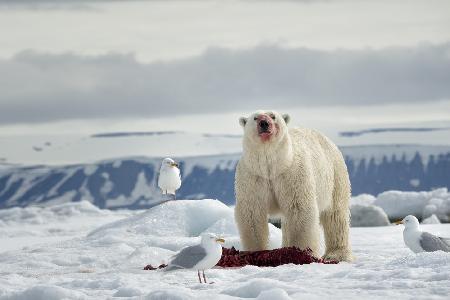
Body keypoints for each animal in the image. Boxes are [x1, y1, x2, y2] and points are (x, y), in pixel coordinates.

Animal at [234, 109, 354, 260]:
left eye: (273, 116)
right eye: (255, 118)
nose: (264, 123)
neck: (273, 167)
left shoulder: (292, 174)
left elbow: (298, 209)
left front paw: (299, 252)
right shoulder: (253, 177)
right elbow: (252, 212)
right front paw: (255, 252)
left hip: (335, 175)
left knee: (335, 215)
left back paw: (336, 254)